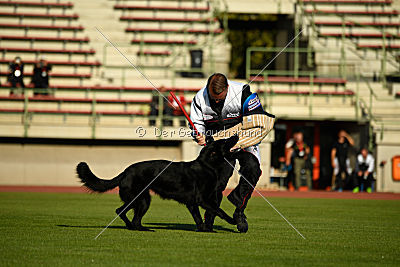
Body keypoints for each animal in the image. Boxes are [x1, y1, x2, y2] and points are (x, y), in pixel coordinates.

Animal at [76, 136, 242, 232]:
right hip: (140, 199)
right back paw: (139, 229)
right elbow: (219, 210)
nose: (236, 134)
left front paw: (204, 230)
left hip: (142, 200)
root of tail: (126, 171)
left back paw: (136, 228)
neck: (207, 165)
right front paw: (233, 221)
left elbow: (199, 218)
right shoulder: (202, 200)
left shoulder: (192, 203)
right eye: (225, 141)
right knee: (122, 212)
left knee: (128, 216)